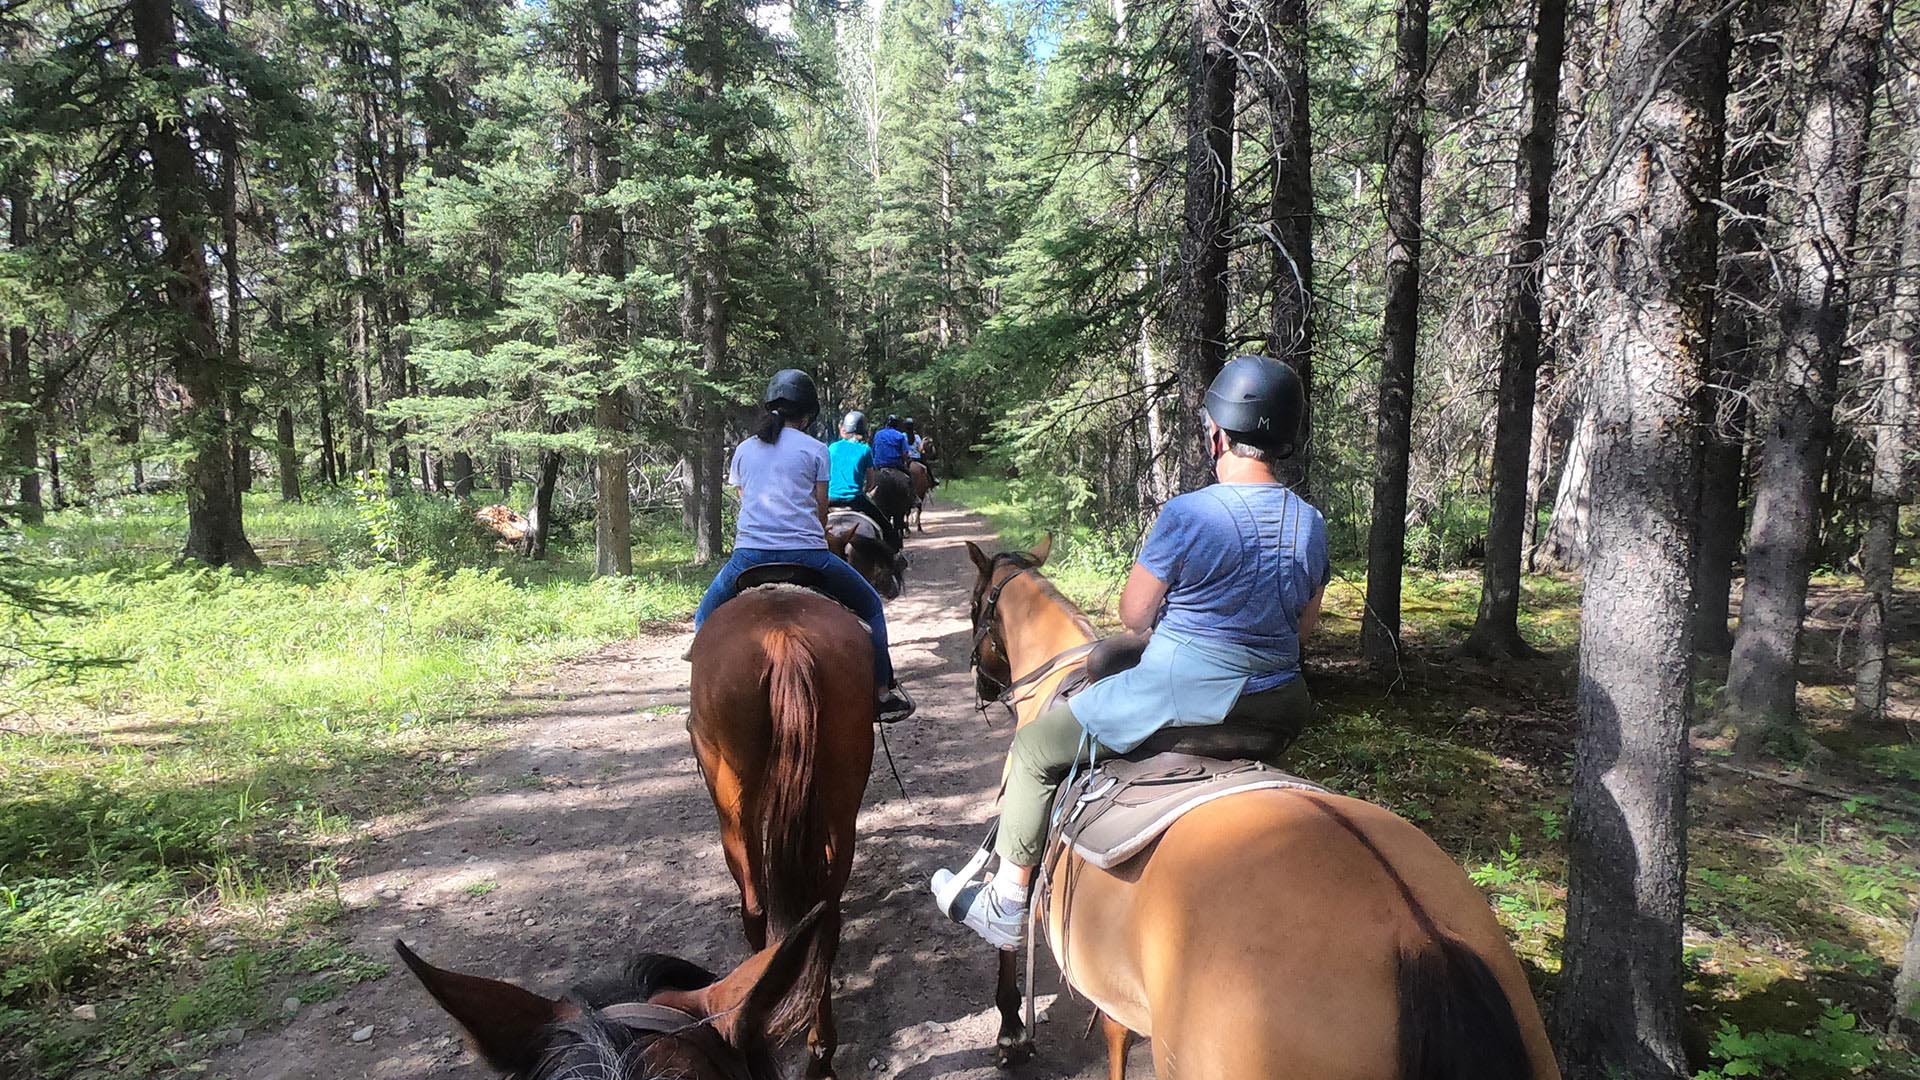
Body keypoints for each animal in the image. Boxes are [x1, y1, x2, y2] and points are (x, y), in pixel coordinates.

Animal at [687, 580, 875, 1076]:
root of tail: (782, 641)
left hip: (733, 805)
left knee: (754, 905)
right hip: (843, 794)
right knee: (826, 917)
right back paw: (821, 1050)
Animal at [960, 541, 1559, 1076]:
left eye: (974, 605)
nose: (983, 687)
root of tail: (1421, 937)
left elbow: (1010, 929)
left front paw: (1011, 1033)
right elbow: (1115, 1035)